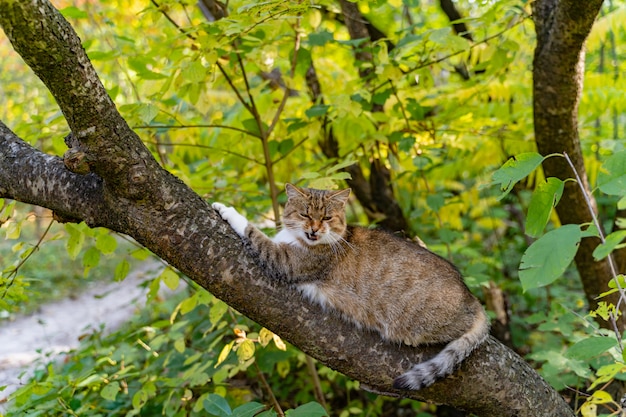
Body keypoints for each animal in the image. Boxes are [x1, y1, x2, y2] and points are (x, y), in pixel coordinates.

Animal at [212, 184, 490, 388]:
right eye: (305, 214)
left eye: (326, 217)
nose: (314, 230)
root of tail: (471, 297)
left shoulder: (286, 261)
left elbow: (252, 230)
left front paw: (227, 209)